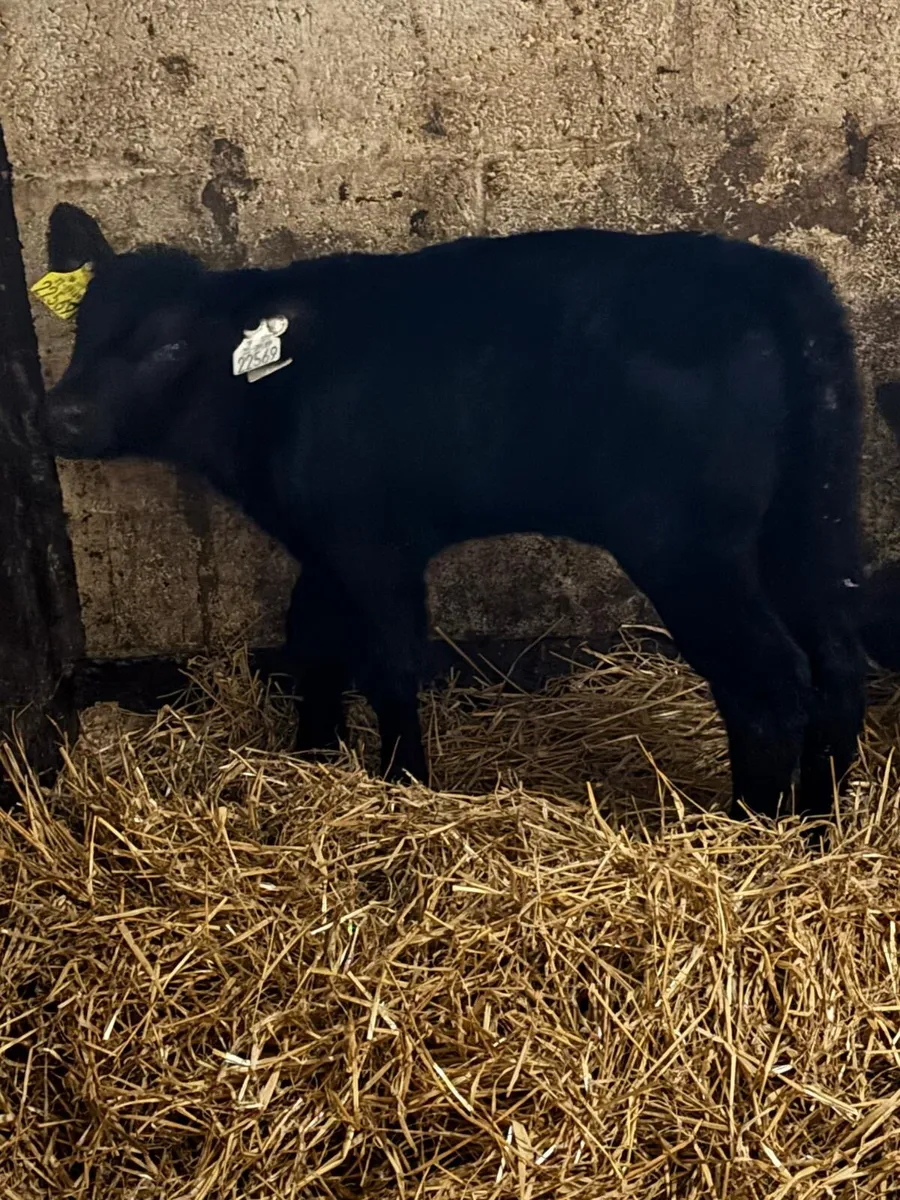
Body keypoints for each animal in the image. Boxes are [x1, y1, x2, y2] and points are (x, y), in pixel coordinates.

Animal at [38, 202, 866, 821]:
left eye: (173, 347)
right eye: (81, 328)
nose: (63, 415)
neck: (275, 396)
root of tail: (771, 277)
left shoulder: (373, 543)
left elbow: (390, 663)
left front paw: (403, 780)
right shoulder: (323, 542)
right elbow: (315, 639)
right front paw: (314, 754)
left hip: (688, 546)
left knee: (768, 679)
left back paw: (745, 832)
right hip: (809, 521)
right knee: (837, 662)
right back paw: (816, 826)